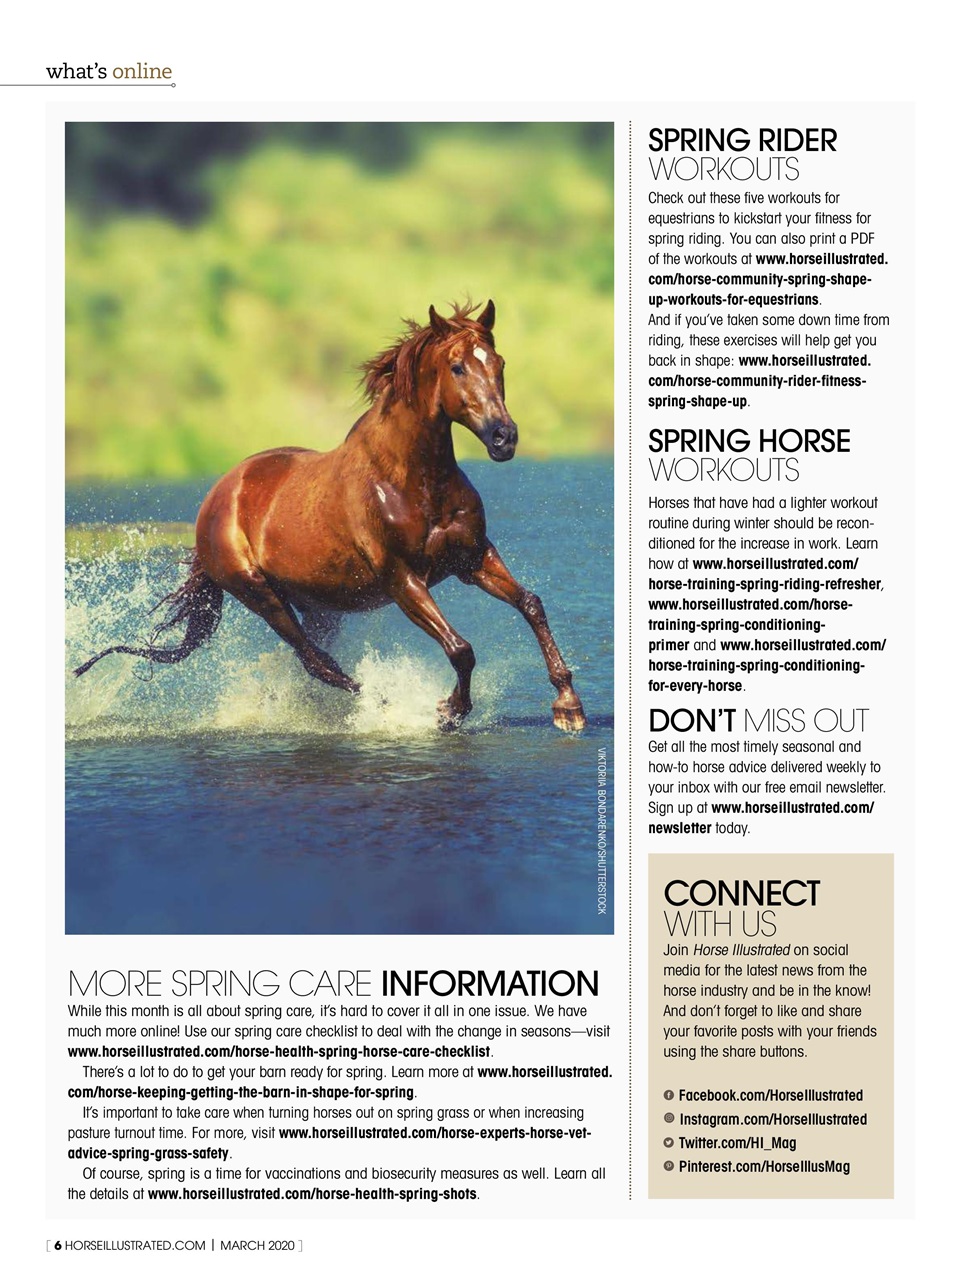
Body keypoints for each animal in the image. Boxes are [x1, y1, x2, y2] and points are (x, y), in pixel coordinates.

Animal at [74, 300, 587, 733]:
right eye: (457, 366)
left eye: (499, 364)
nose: (504, 438)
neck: (412, 480)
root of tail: (217, 498)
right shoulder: (403, 579)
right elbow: (461, 649)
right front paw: (448, 712)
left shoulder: (472, 558)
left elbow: (531, 604)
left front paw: (568, 707)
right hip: (259, 593)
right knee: (316, 661)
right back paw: (382, 704)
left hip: (318, 603)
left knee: (316, 659)